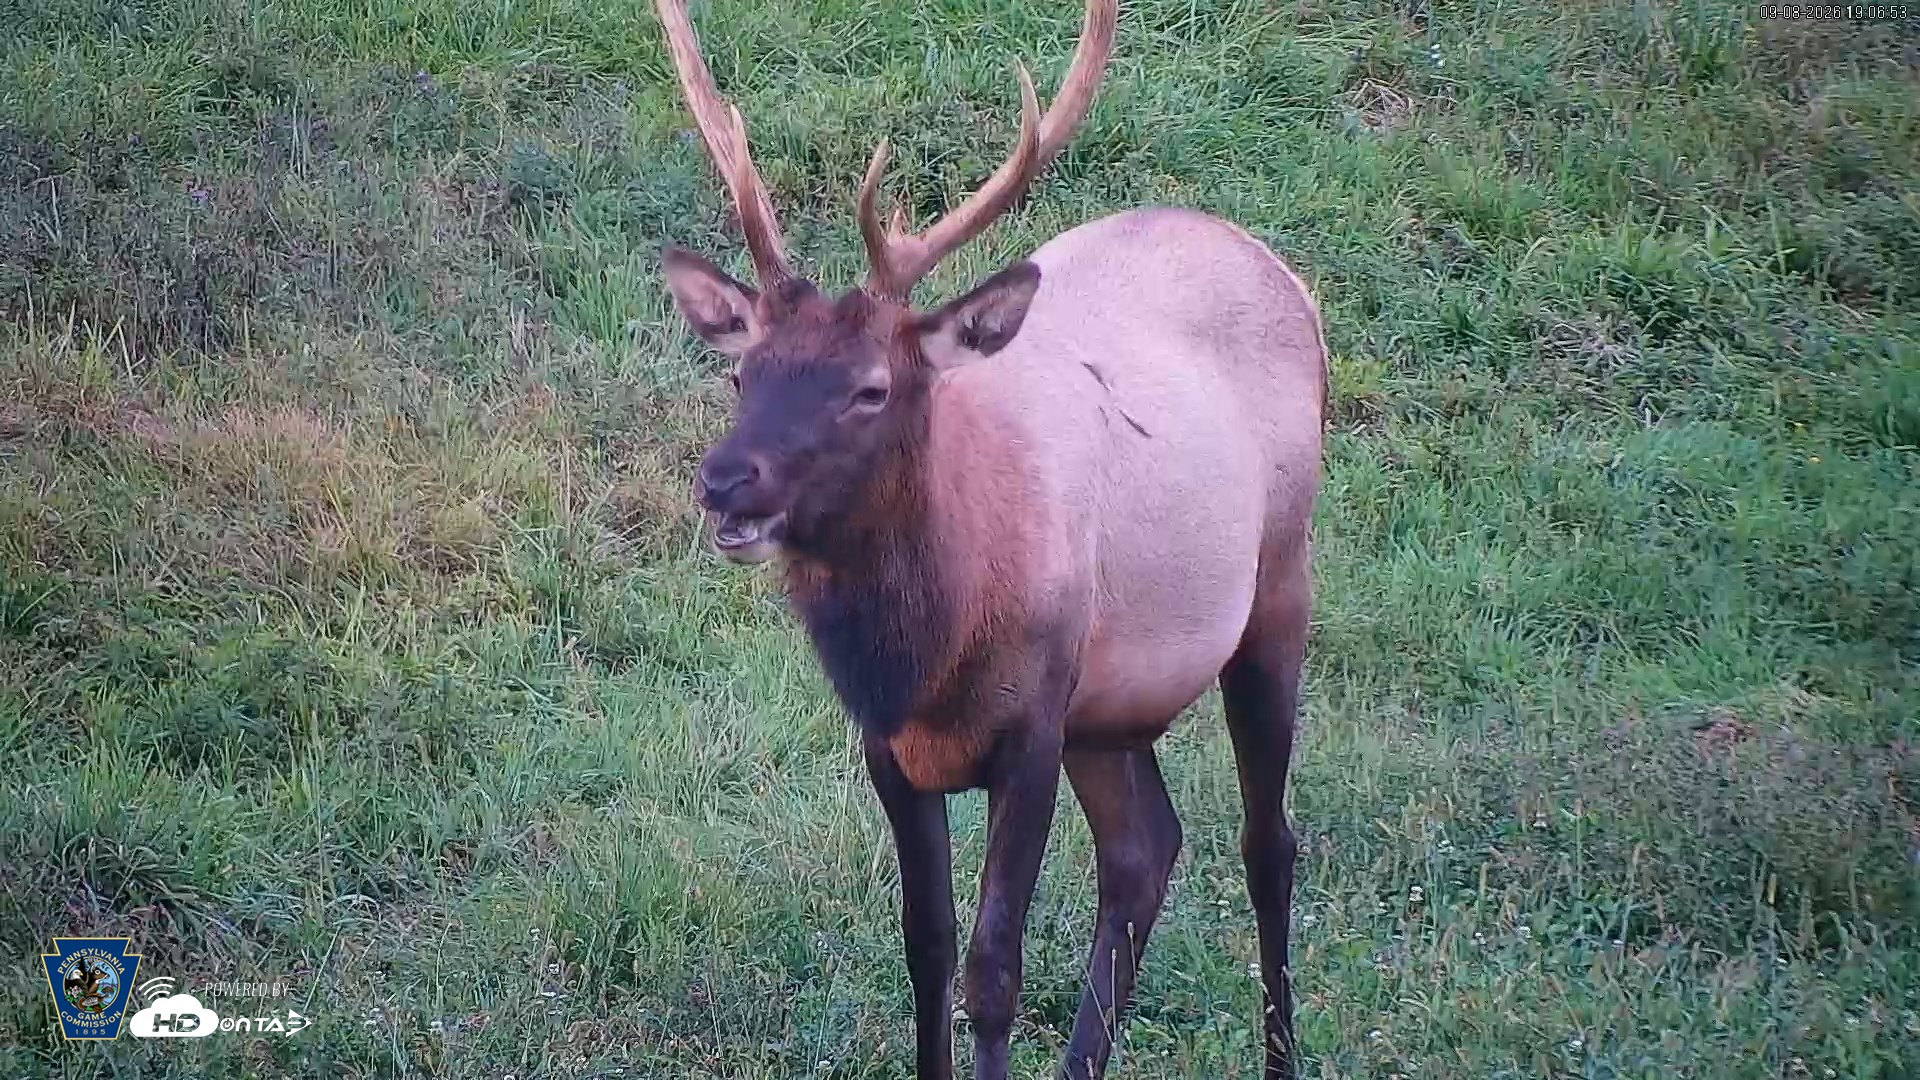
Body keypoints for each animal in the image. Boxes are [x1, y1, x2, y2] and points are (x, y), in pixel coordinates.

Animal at [651, 0, 1326, 1076]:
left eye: (870, 388)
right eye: (740, 373)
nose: (724, 481)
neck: (927, 653)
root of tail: (1286, 276)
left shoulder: (1033, 726)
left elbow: (993, 966)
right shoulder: (891, 745)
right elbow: (925, 948)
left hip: (1277, 585)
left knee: (1269, 845)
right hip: (1112, 706)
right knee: (1147, 848)